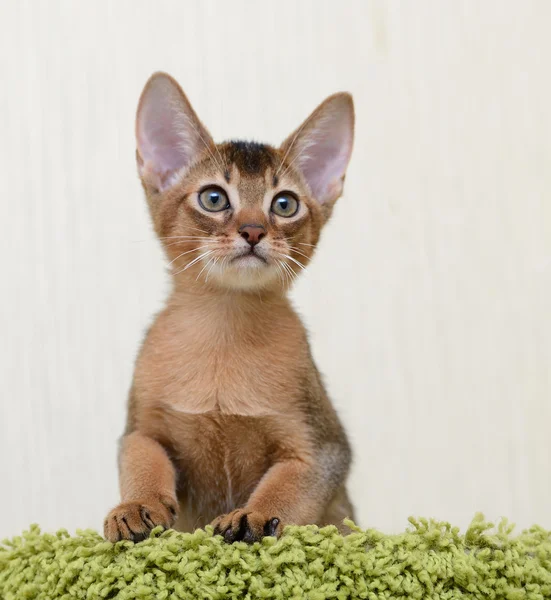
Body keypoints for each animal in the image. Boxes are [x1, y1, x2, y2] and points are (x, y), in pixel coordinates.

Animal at [104, 71, 358, 544]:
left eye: (285, 204)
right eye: (214, 198)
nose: (254, 231)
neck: (224, 329)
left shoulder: (322, 447)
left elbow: (288, 488)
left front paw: (255, 517)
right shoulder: (142, 428)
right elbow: (141, 459)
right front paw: (136, 506)